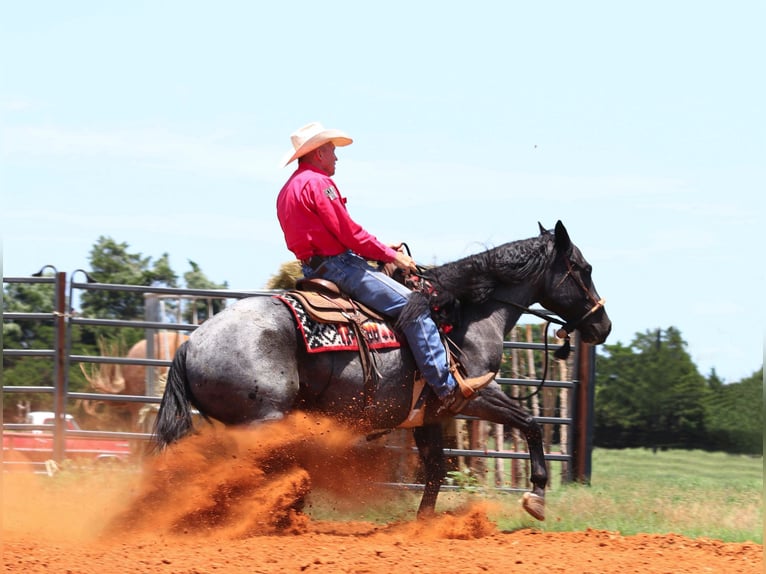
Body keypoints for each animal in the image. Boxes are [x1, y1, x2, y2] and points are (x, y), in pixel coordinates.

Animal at [154, 223, 612, 524]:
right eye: (584, 268)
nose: (603, 326)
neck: (466, 312)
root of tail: (191, 344)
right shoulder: (473, 395)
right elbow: (531, 423)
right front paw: (536, 496)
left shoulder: (430, 415)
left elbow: (435, 468)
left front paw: (422, 525)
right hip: (262, 423)